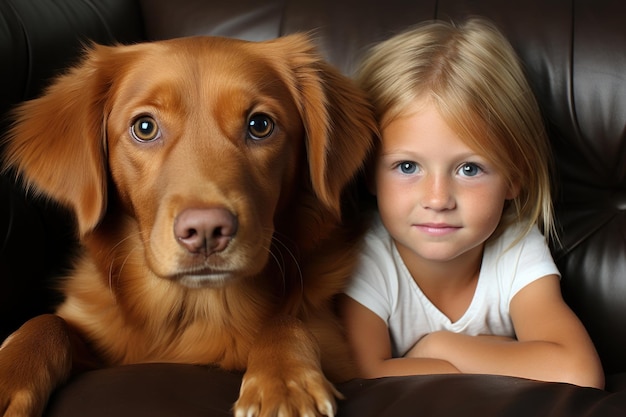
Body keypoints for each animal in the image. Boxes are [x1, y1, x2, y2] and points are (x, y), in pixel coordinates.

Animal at [0, 33, 376, 416]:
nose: (207, 231)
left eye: (260, 125)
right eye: (145, 127)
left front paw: (284, 385)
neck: (193, 309)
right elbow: (45, 323)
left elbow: (286, 321)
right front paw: (7, 380)